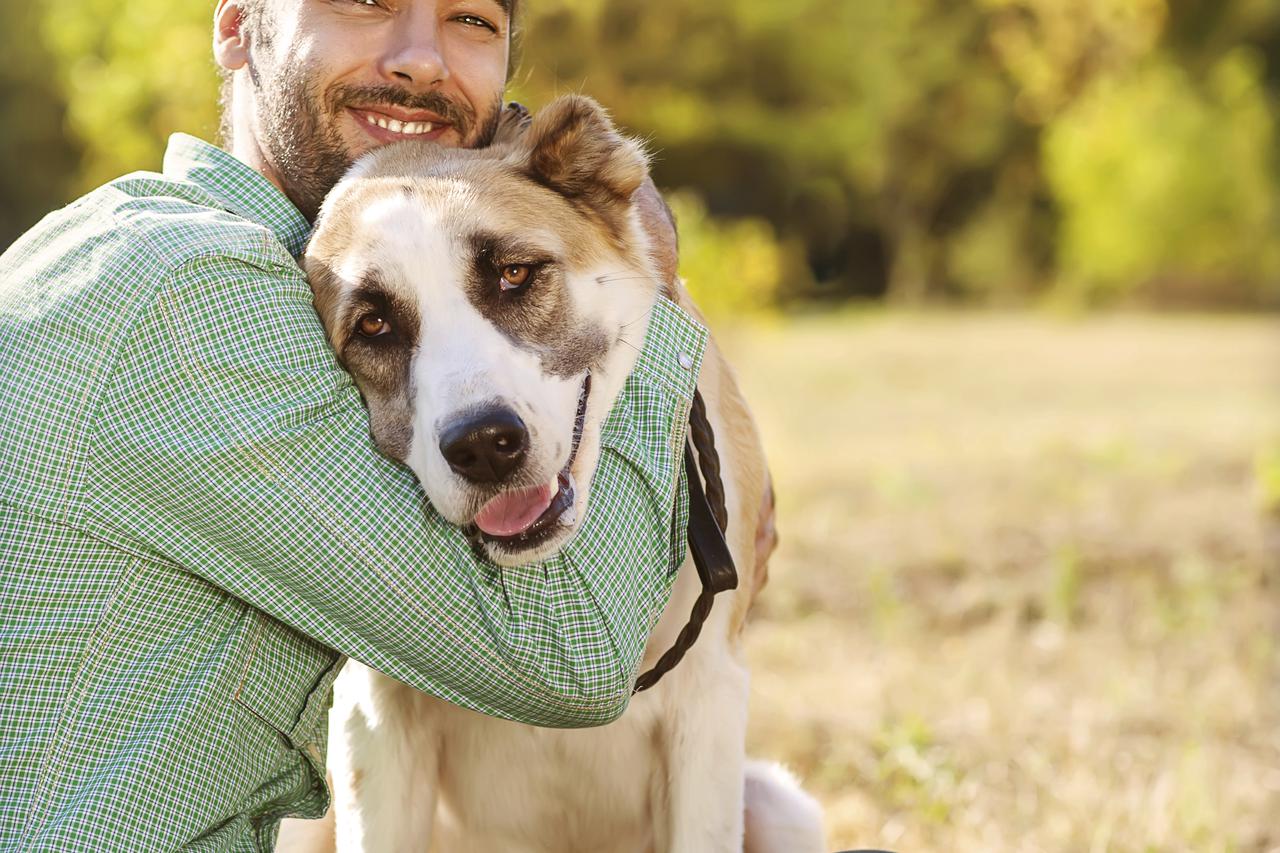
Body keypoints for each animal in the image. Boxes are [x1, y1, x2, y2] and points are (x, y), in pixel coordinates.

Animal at [275, 94, 824, 850]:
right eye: (374, 325)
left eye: (514, 274)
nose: (483, 444)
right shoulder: (374, 717)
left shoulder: (708, 696)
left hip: (780, 805)